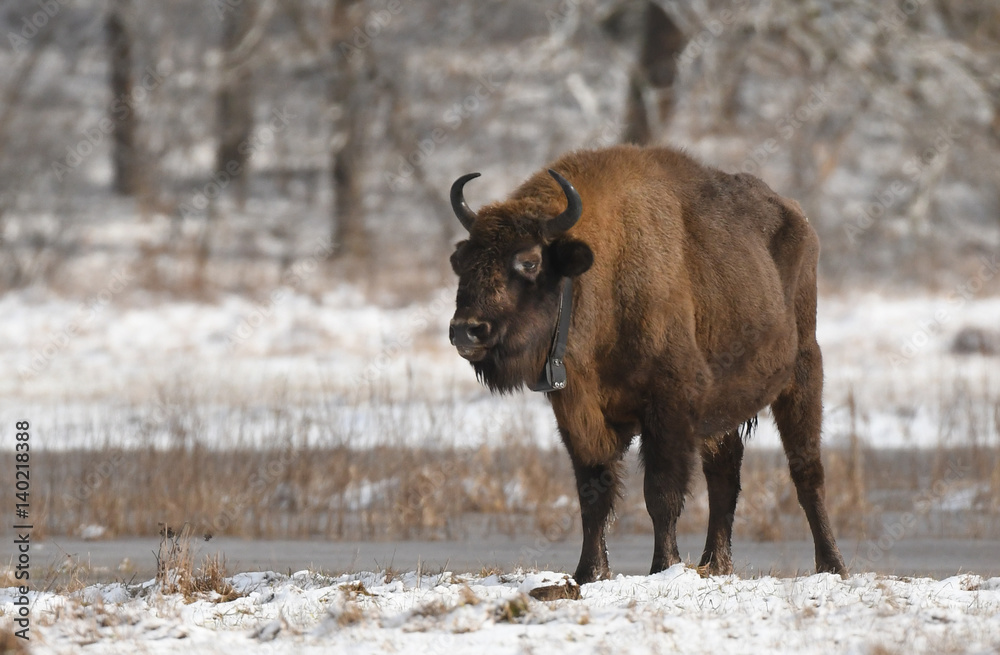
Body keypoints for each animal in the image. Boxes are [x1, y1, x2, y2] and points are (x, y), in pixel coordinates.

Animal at [448, 145, 846, 583]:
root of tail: (800, 219)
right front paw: (589, 572)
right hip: (723, 409)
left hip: (803, 375)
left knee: (807, 473)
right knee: (724, 476)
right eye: (464, 262)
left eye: (530, 261)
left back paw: (832, 565)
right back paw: (715, 564)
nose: (466, 331)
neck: (598, 274)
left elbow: (660, 494)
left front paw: (663, 566)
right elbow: (594, 496)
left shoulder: (670, 408)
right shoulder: (580, 416)